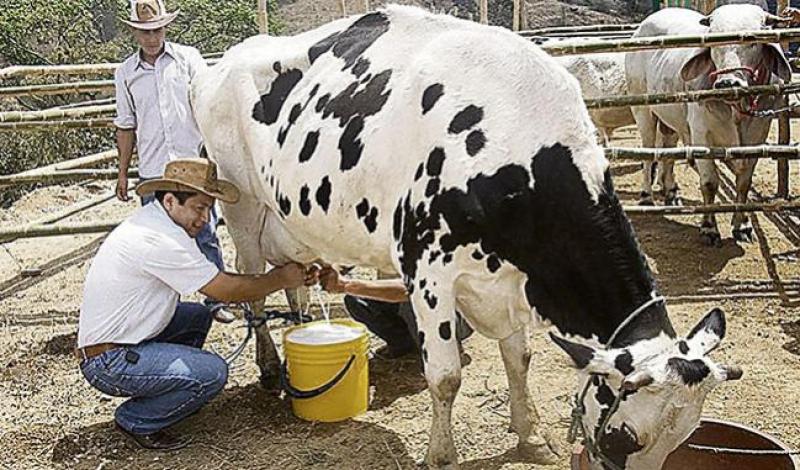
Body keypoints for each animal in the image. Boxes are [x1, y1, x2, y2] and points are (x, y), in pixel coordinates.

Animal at [194, 6, 744, 466]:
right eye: (627, 437)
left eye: (685, 436)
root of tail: (225, 62)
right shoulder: (429, 272)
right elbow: (446, 376)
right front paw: (442, 455)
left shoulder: (513, 279)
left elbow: (518, 359)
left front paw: (530, 436)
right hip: (241, 206)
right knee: (253, 287)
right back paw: (269, 366)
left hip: (293, 221)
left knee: (294, 281)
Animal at [624, 5, 788, 244]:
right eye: (712, 41)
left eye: (753, 41)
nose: (728, 83)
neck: (736, 110)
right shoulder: (702, 136)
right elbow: (710, 183)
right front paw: (709, 227)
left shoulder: (757, 136)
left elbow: (744, 183)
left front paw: (742, 226)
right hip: (643, 111)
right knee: (648, 153)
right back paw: (646, 197)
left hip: (672, 120)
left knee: (668, 151)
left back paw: (671, 191)